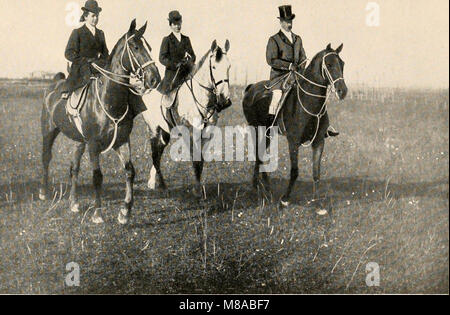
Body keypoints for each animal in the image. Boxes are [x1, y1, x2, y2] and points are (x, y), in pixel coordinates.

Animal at [39, 19, 161, 225]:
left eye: (149, 48)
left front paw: (125, 212)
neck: (108, 99)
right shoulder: (93, 144)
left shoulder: (122, 140)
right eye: (135, 47)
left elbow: (130, 171)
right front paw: (98, 213)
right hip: (49, 131)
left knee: (74, 168)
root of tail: (53, 84)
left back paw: (74, 203)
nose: (155, 78)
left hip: (79, 141)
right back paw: (44, 192)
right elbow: (97, 176)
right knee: (46, 158)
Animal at [141, 39, 232, 198]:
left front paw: (200, 188)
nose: (224, 100)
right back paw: (161, 185)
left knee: (158, 152)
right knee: (154, 154)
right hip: (153, 129)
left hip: (165, 132)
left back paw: (153, 182)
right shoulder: (190, 133)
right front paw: (197, 191)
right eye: (214, 67)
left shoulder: (207, 134)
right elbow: (195, 161)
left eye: (229, 66)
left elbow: (201, 161)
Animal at [244, 42, 346, 210]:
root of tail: (251, 88)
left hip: (269, 133)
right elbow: (294, 171)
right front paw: (285, 199)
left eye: (342, 64)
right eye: (329, 64)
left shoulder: (319, 142)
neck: (308, 103)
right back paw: (258, 187)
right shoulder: (293, 142)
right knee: (259, 154)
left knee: (262, 154)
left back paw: (266, 187)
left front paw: (318, 204)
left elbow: (316, 172)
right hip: (257, 130)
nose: (342, 91)